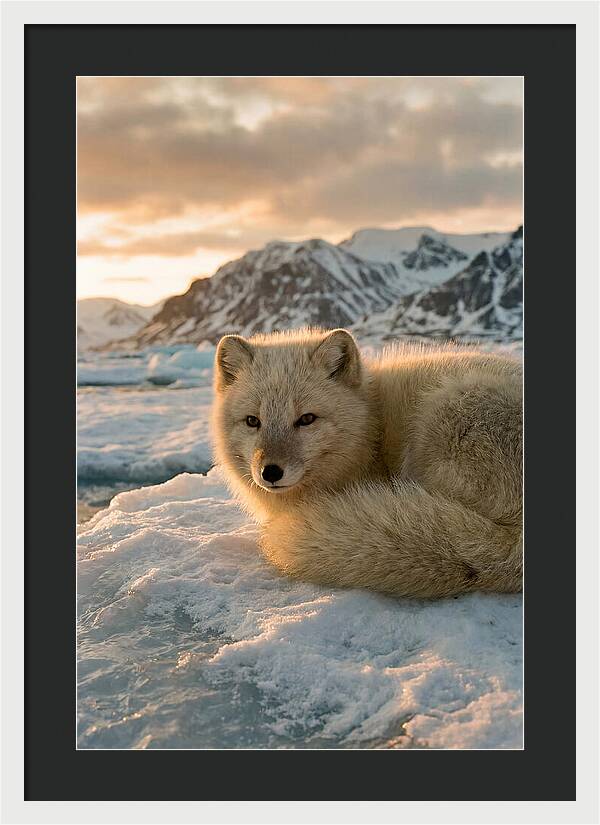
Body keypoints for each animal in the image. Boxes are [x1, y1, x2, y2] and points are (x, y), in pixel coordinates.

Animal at [212, 328, 522, 599]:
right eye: (253, 421)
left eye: (307, 419)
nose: (270, 472)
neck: (371, 426)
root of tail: (515, 547)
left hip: (443, 414)